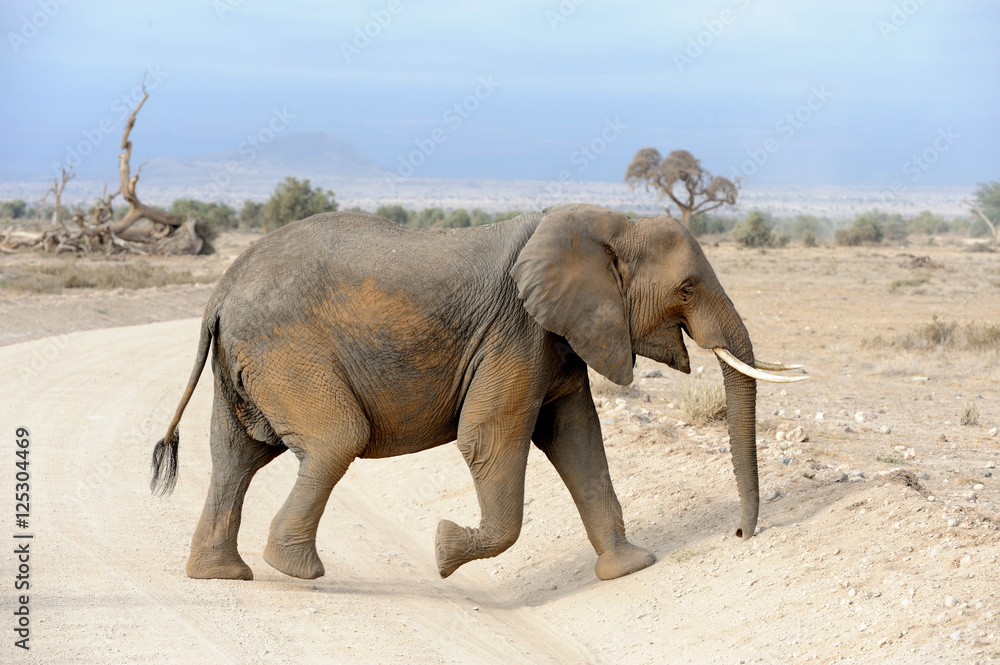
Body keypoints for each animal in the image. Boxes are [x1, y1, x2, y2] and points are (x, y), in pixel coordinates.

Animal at [150, 203, 806, 583]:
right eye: (688, 289)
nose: (742, 535)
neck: (603, 224)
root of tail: (221, 291)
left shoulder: (555, 338)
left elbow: (578, 440)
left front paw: (630, 567)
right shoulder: (517, 330)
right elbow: (488, 438)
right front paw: (444, 552)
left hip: (249, 361)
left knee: (236, 457)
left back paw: (222, 575)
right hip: (285, 350)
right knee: (335, 439)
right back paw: (294, 571)